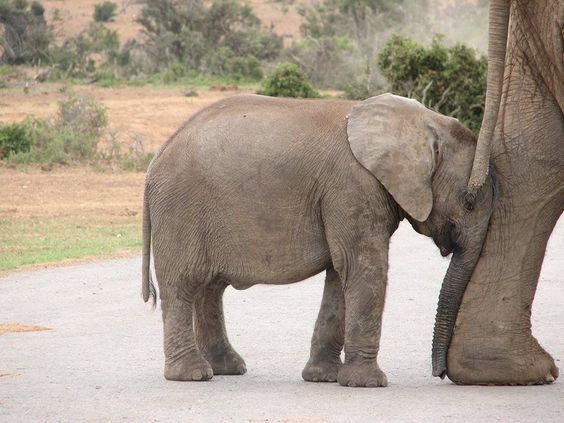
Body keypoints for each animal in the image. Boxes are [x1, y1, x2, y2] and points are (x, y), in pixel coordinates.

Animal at [141, 94, 494, 390]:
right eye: (469, 202)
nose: (440, 373)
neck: (421, 120)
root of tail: (155, 161)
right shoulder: (353, 186)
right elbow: (362, 269)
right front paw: (368, 384)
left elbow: (340, 275)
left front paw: (324, 378)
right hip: (181, 209)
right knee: (184, 285)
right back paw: (193, 375)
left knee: (210, 288)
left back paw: (226, 368)